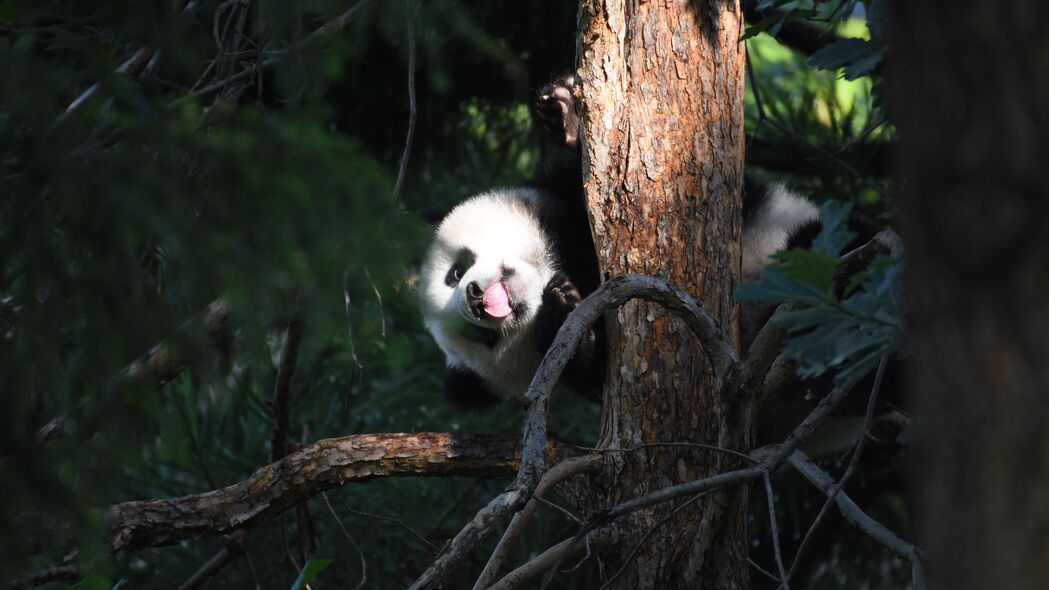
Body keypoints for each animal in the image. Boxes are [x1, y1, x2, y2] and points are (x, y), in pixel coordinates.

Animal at [417, 74, 818, 409]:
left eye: (456, 272)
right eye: (483, 338)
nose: (474, 299)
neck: (563, 263)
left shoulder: (559, 198)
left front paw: (565, 113)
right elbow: (588, 371)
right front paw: (561, 311)